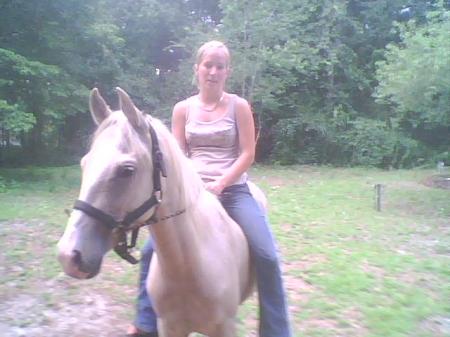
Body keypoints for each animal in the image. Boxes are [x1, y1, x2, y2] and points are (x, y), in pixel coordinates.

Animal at [57, 87, 268, 336]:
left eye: (127, 170)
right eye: (84, 163)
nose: (68, 256)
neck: (188, 266)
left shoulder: (224, 328)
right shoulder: (169, 326)